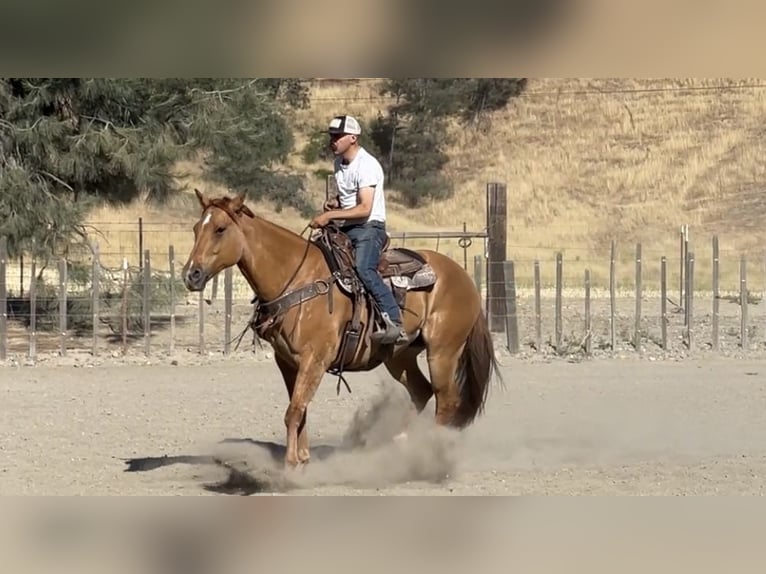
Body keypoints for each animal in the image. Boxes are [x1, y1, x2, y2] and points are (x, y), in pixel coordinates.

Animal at [181, 191, 504, 470]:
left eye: (220, 229)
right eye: (197, 228)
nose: (191, 275)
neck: (297, 278)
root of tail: (463, 276)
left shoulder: (315, 359)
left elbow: (293, 411)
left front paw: (289, 467)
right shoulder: (287, 361)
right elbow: (300, 410)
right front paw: (302, 459)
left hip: (443, 352)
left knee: (446, 399)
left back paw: (427, 454)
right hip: (399, 356)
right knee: (421, 391)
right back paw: (398, 447)